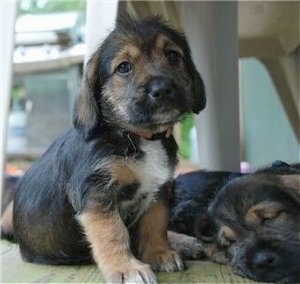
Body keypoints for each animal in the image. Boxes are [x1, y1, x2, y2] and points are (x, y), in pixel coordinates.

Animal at [9, 15, 206, 284]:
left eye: (173, 56)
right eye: (124, 67)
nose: (163, 89)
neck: (135, 135)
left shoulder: (159, 190)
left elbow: (155, 224)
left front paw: (159, 253)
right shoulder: (96, 192)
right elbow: (113, 232)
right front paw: (126, 268)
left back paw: (183, 242)